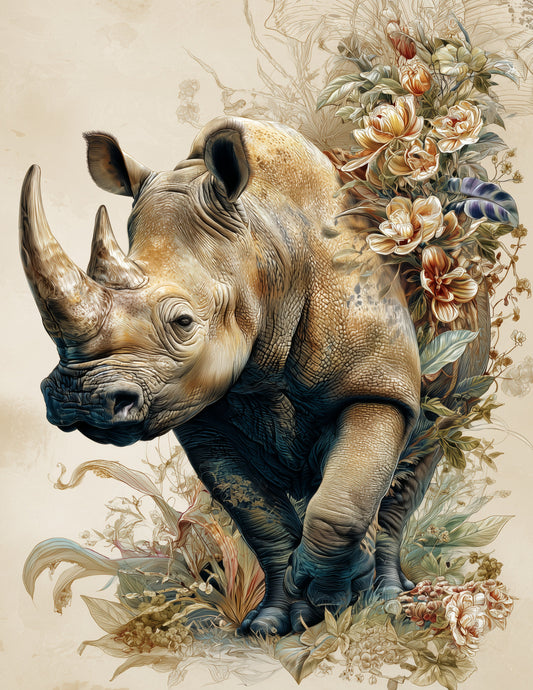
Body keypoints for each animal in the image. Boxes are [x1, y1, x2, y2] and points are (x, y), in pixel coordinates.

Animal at [20, 117, 489, 636]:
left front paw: (335, 595)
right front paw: (276, 623)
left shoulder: (378, 386)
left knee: (420, 455)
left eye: (183, 322)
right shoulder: (202, 417)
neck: (263, 252)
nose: (77, 400)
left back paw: (388, 601)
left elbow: (341, 503)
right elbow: (260, 520)